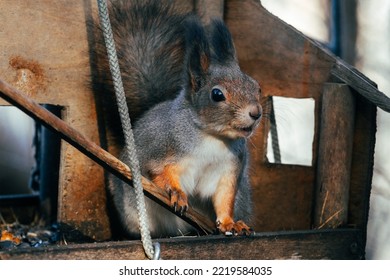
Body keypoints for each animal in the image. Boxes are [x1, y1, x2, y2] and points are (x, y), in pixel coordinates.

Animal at [92, 0, 262, 240]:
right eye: (217, 94)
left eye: (257, 87)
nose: (256, 113)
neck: (212, 136)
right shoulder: (161, 150)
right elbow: (159, 173)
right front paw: (177, 193)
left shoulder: (229, 171)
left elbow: (224, 199)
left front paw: (230, 223)